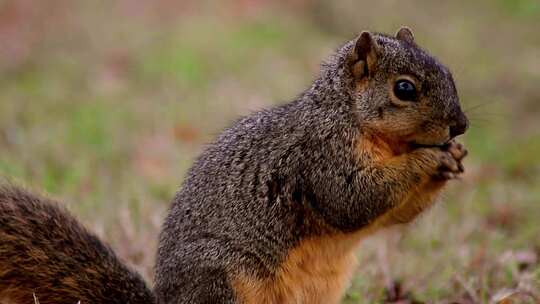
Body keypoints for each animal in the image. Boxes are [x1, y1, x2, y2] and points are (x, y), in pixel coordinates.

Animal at [0, 26, 466, 304]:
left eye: (448, 71)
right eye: (404, 89)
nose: (460, 126)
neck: (346, 114)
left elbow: (394, 214)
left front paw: (454, 160)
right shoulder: (321, 157)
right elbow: (353, 200)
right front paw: (429, 157)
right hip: (223, 280)